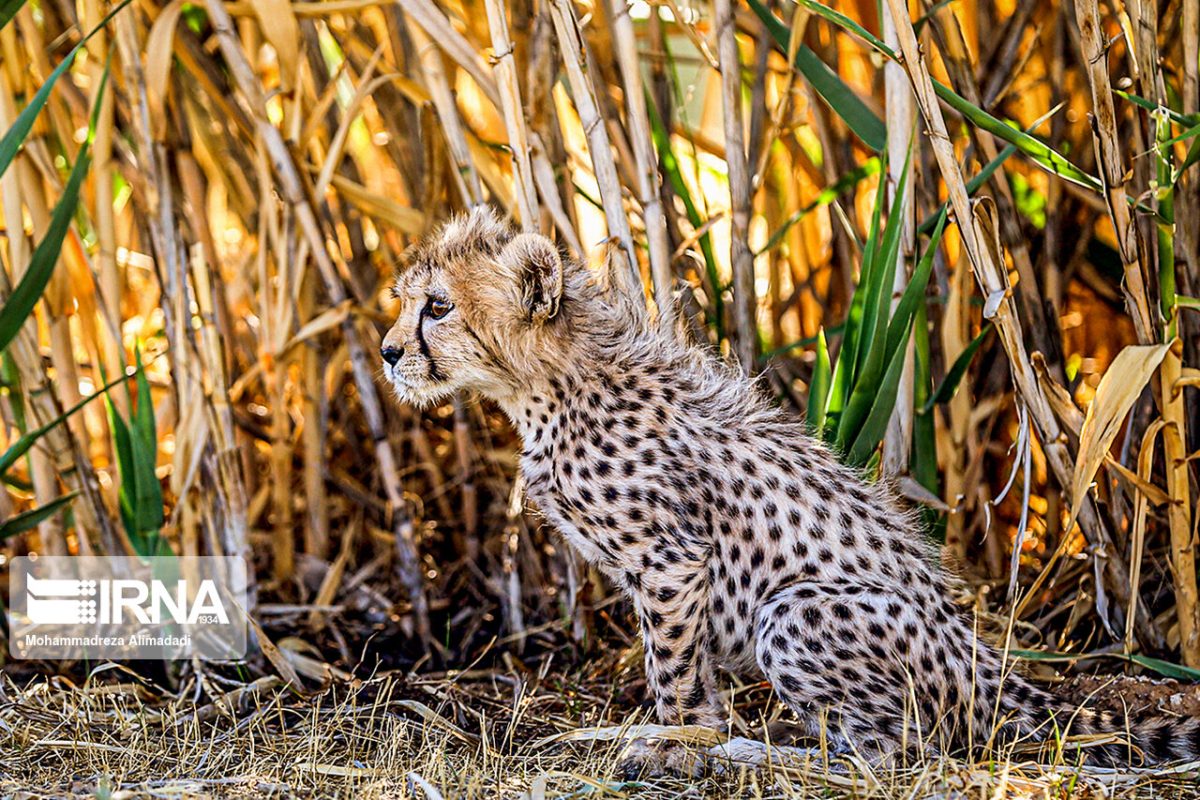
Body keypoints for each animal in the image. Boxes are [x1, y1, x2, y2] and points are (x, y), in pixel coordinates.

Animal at [381, 207, 1200, 774]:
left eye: (439, 307)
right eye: (407, 301)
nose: (387, 352)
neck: (551, 384)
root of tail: (986, 662)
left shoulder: (672, 563)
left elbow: (672, 672)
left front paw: (678, 740)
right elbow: (694, 675)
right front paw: (686, 734)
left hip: (795, 613)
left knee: (893, 755)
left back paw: (757, 755)